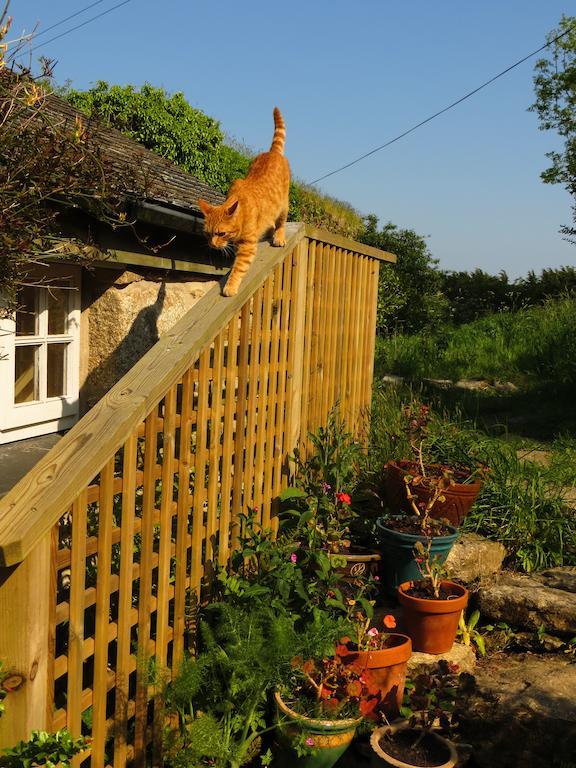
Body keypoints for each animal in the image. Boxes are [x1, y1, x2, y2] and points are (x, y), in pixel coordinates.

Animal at [198, 107, 290, 296]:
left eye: (221, 233)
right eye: (208, 234)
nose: (213, 245)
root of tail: (273, 152)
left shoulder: (247, 247)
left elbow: (238, 269)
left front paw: (230, 286)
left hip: (284, 206)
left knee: (281, 223)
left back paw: (278, 237)